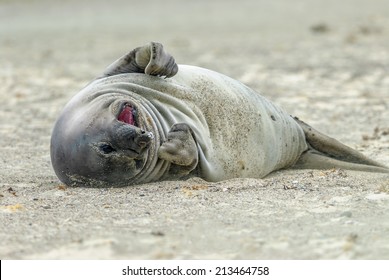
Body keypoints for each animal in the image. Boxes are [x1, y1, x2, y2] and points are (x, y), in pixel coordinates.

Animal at [50, 42, 388, 186]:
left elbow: (133, 58)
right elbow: (191, 166)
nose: (141, 140)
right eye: (108, 149)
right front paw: (178, 144)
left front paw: (160, 60)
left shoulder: (98, 81)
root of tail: (298, 147)